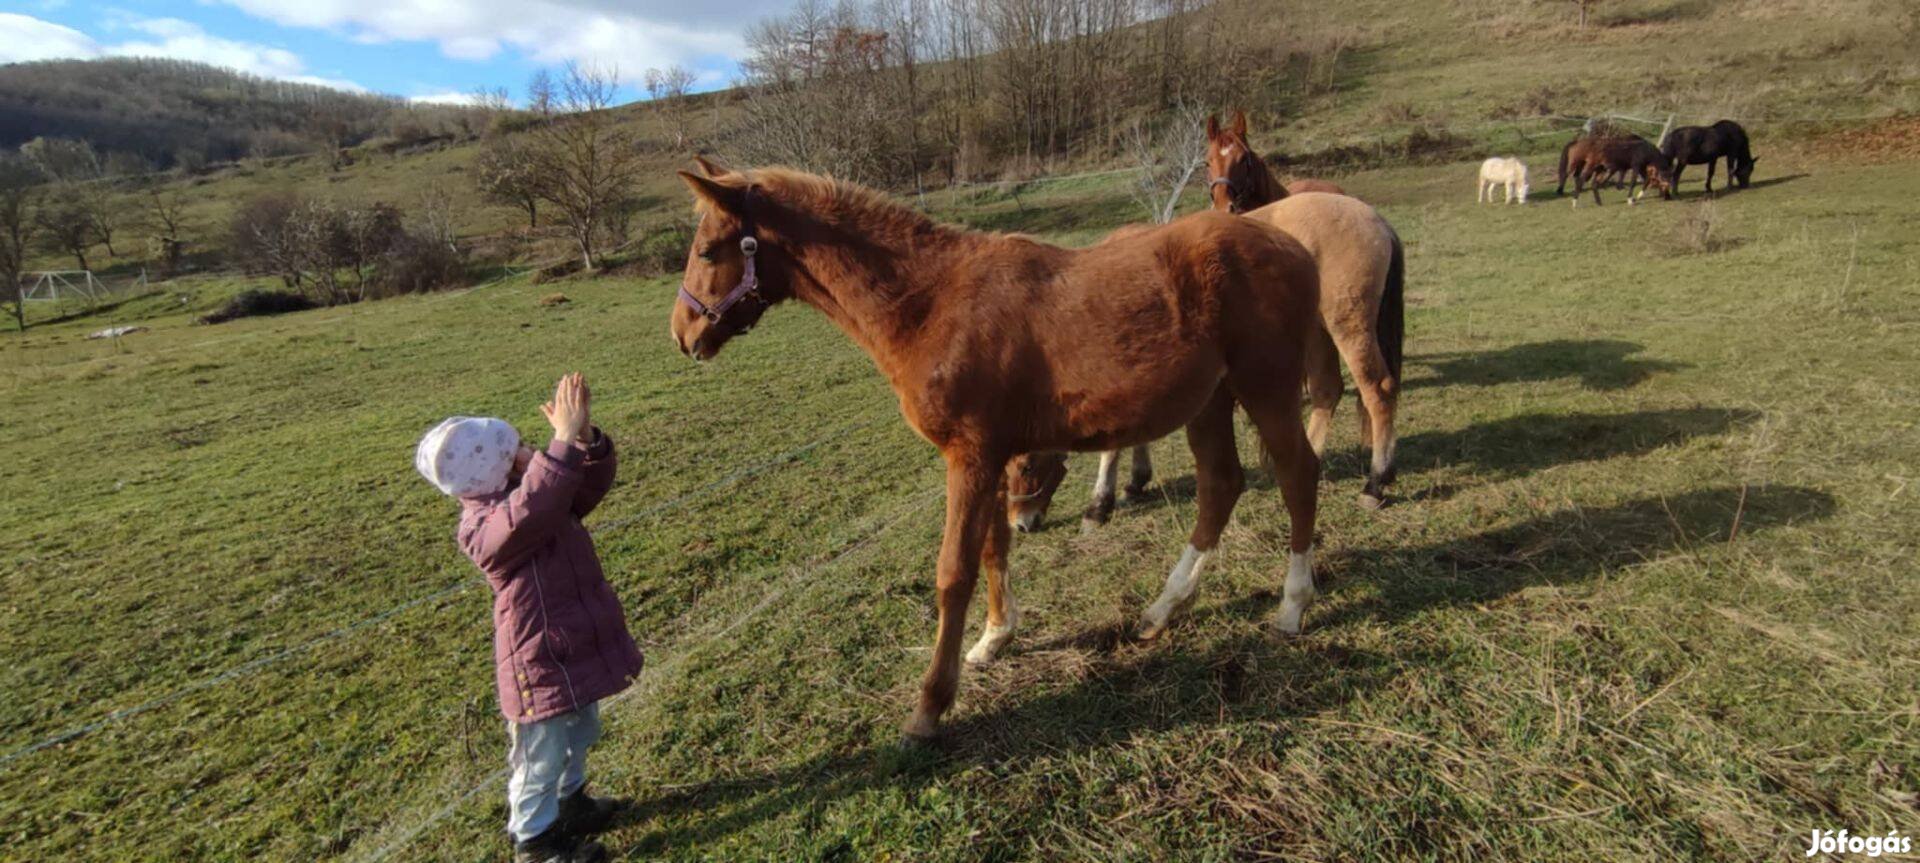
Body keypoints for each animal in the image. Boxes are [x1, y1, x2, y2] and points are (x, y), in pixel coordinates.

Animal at [672, 159, 1320, 738]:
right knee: (1221, 485)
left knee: (1297, 475)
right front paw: (994, 639)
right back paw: (1161, 612)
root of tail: (1295, 245)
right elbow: (992, 548)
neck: (931, 301)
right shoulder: (989, 457)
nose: (683, 334)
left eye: (706, 252)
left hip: (1266, 387)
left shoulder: (971, 456)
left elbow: (953, 571)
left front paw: (929, 707)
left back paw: (1291, 607)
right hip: (1211, 401)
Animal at [1006, 109, 1413, 530]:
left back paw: (1375, 483)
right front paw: (1135, 481)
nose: (1021, 522)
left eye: (1024, 464)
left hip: (1347, 327)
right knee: (1326, 391)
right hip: (1317, 331)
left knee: (1378, 389)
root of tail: (1374, 218)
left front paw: (1099, 504)